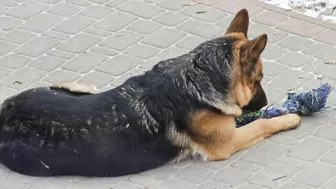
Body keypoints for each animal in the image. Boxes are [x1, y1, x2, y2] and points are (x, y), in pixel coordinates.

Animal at [0, 8, 300, 177]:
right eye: (258, 79)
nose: (265, 102)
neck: (197, 76)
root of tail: (5, 114)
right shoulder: (225, 144)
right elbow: (261, 124)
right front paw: (287, 117)